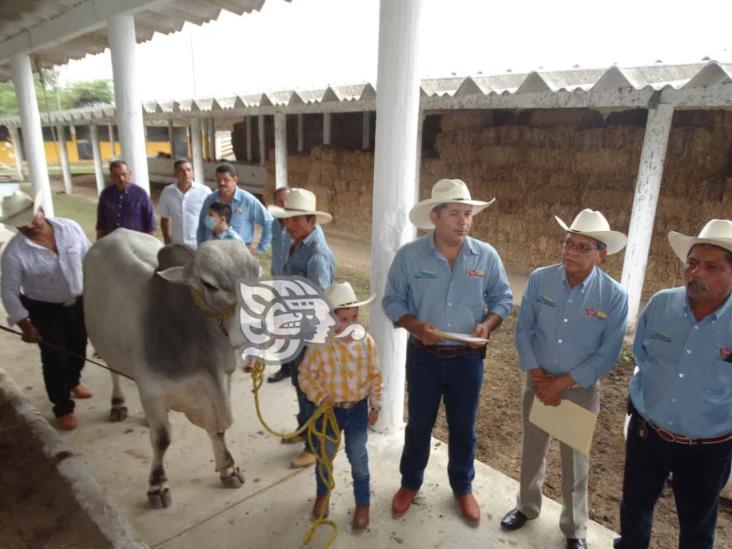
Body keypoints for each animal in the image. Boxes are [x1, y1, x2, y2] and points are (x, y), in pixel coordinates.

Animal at [83, 229, 258, 508]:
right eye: (209, 284)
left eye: (256, 273)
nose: (253, 328)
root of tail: (117, 232)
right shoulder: (153, 390)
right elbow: (162, 439)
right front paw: (157, 485)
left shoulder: (222, 383)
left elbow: (218, 429)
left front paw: (228, 469)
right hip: (105, 344)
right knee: (113, 371)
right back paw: (118, 404)